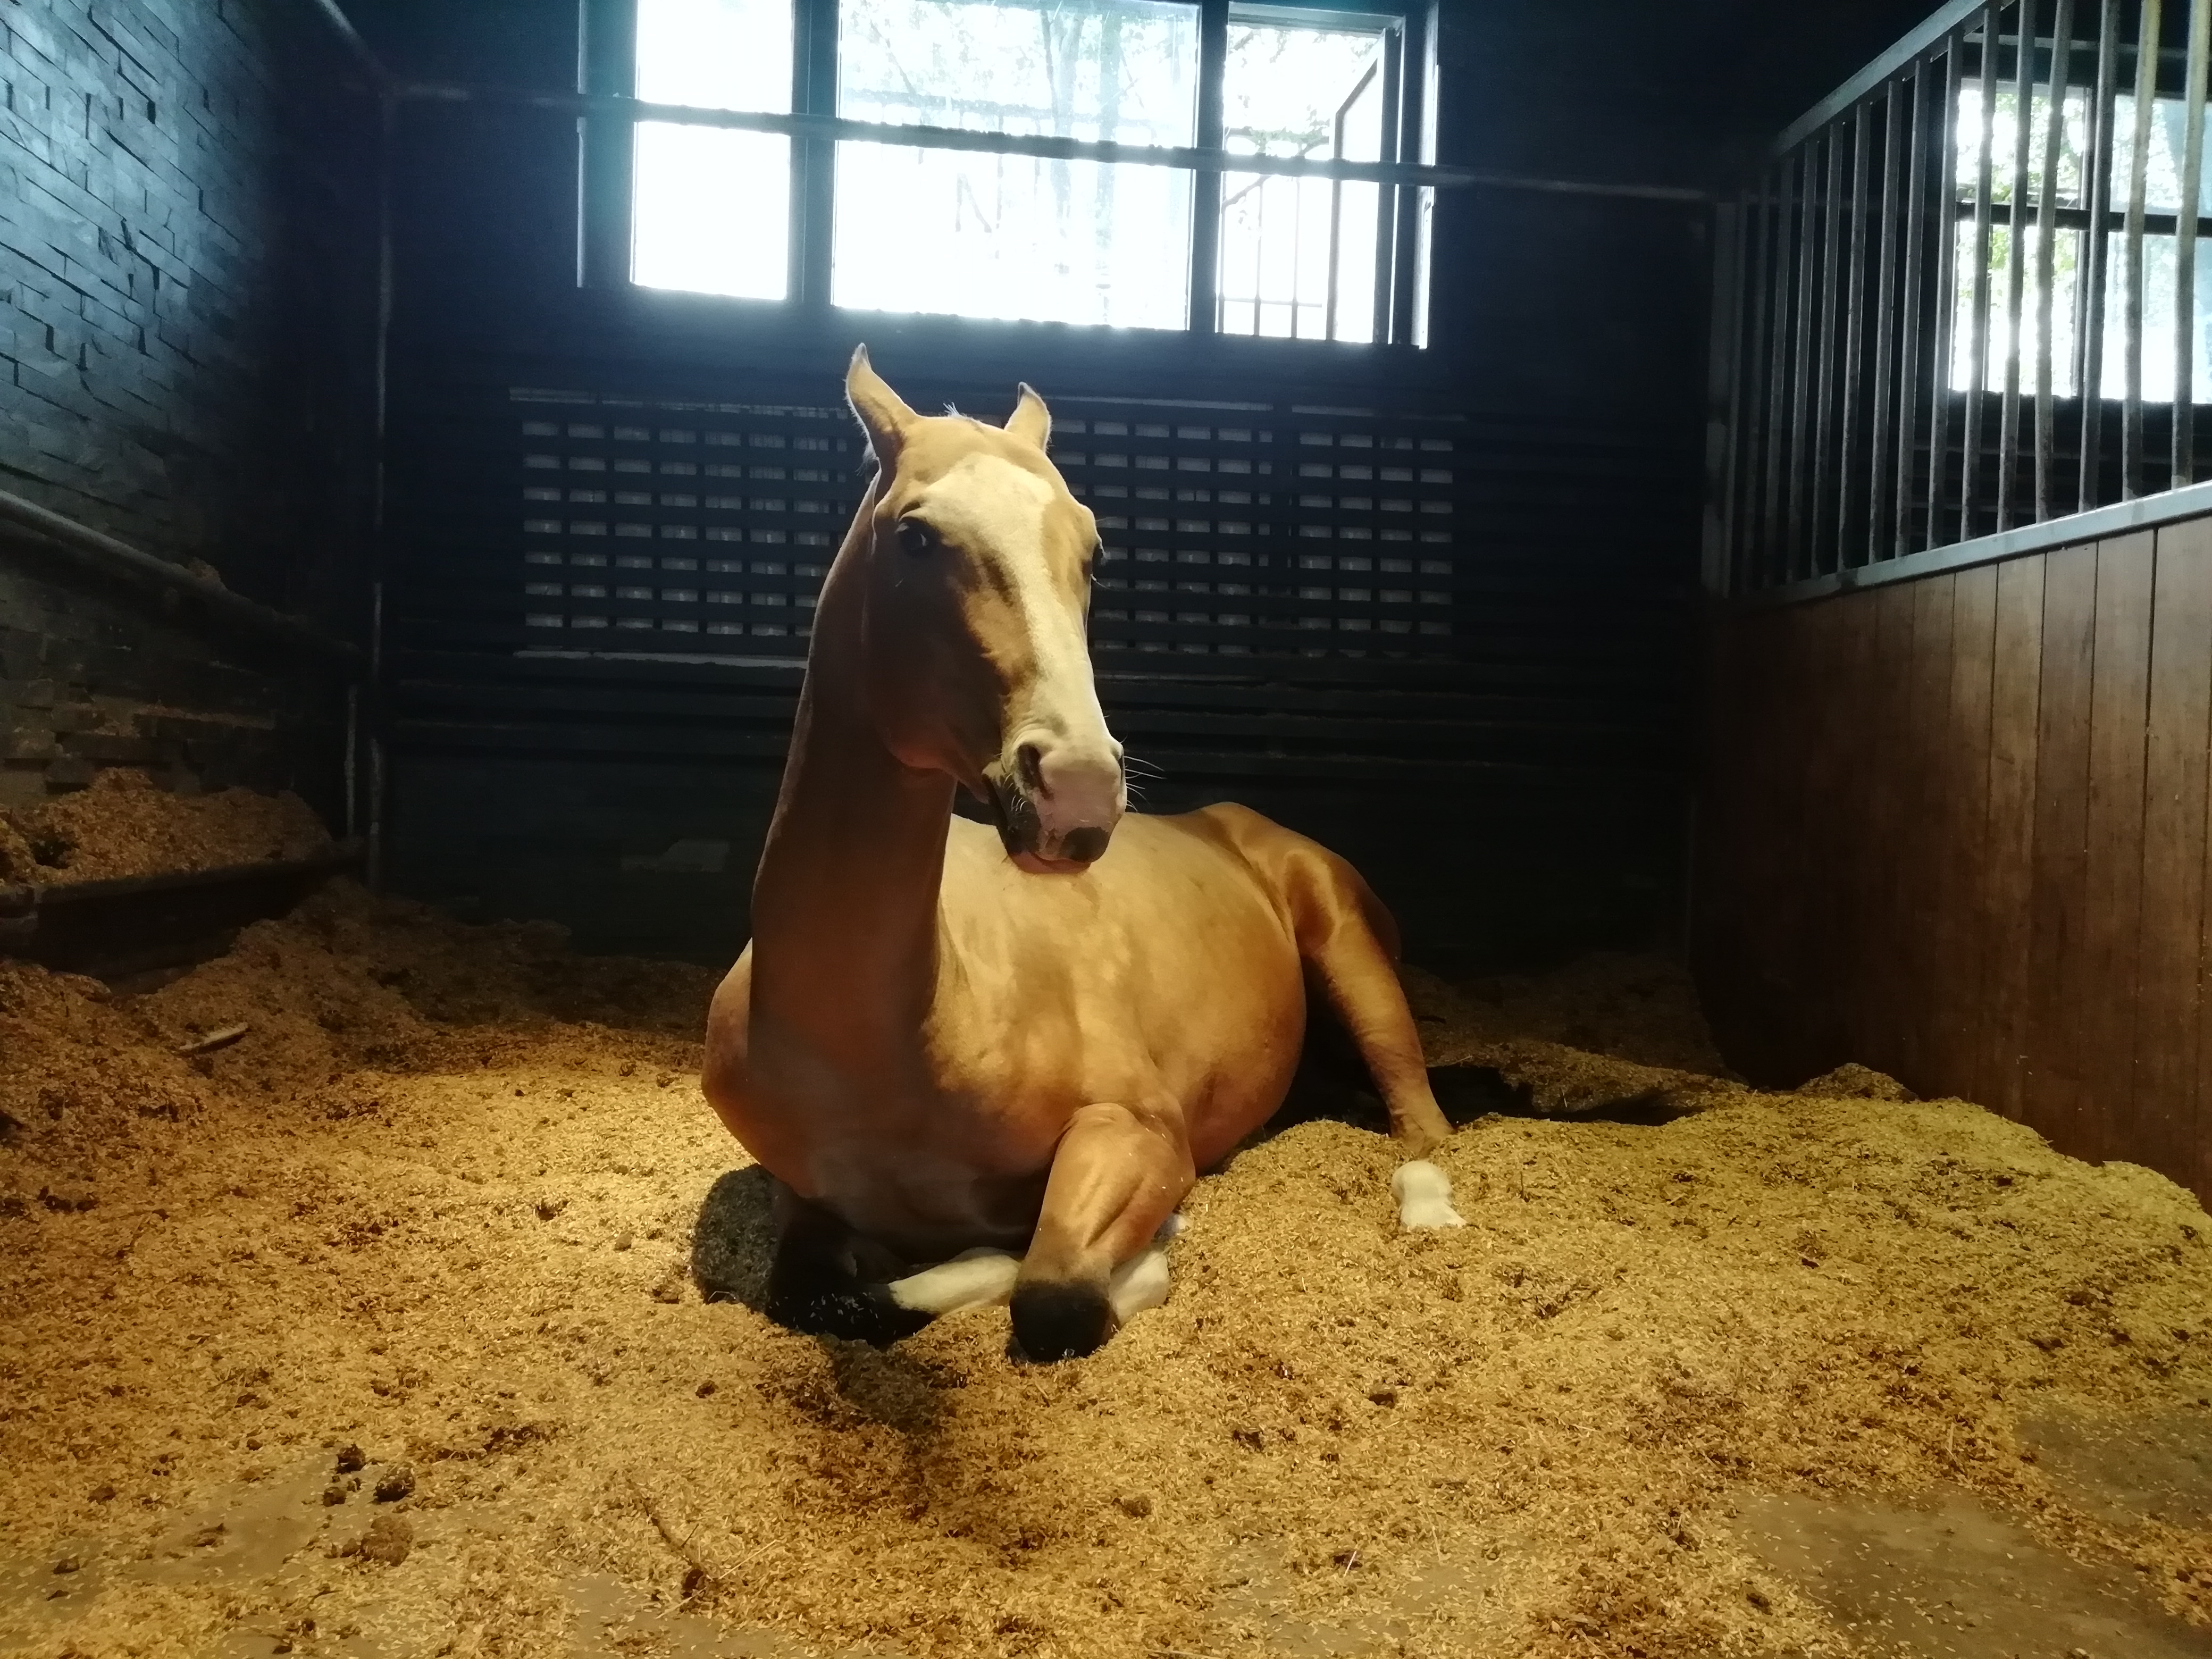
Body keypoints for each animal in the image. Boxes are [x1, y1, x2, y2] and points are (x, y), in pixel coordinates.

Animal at [701, 348, 1458, 1361]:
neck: (902, 1035)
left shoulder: (1135, 1130)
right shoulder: (806, 1202)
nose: (1078, 790)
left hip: (1351, 956)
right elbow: (825, 1298)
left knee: (1419, 1115)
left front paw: (1146, 1255)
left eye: (1093, 550)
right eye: (916, 538)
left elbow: (1053, 1292)